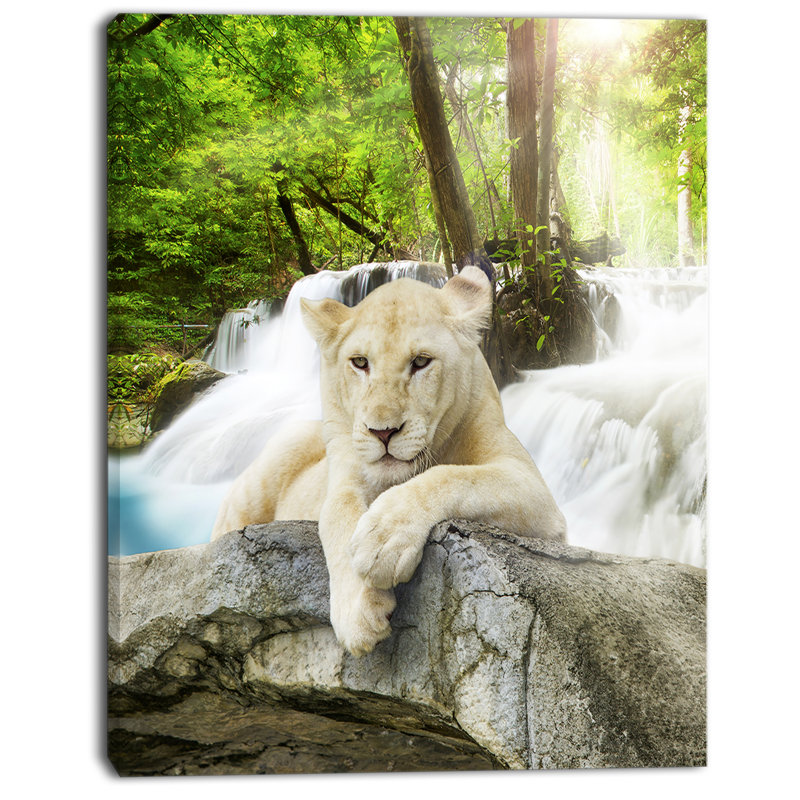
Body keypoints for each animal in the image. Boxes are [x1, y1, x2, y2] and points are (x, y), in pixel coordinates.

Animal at [212, 266, 567, 656]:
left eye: (421, 361)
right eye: (360, 362)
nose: (382, 432)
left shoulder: (534, 489)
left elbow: (454, 476)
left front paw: (383, 538)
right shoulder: (345, 474)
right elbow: (337, 515)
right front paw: (357, 610)